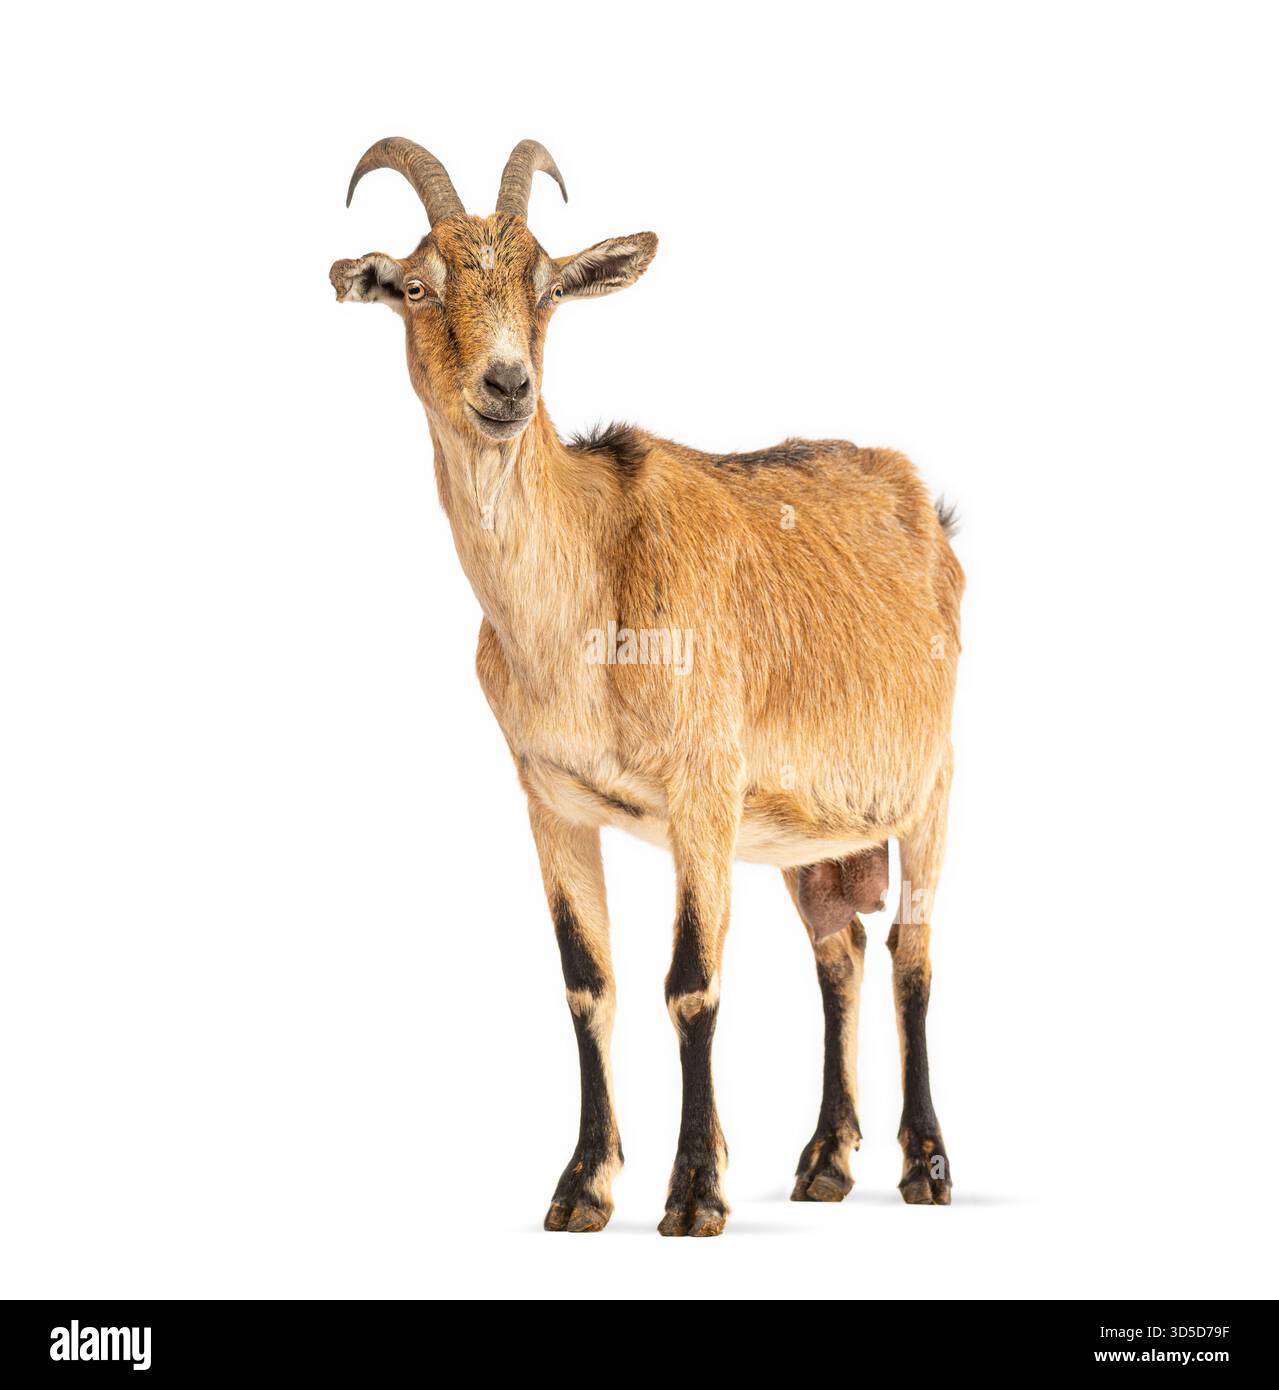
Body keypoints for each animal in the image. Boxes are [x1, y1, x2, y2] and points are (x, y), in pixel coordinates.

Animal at [330, 138, 963, 1236]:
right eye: (415, 285)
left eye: (546, 286)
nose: (508, 384)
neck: (582, 596)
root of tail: (929, 509)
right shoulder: (551, 799)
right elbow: (589, 984)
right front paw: (582, 1186)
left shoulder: (702, 788)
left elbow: (691, 982)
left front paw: (694, 1192)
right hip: (805, 830)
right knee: (838, 952)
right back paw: (824, 1163)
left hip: (931, 785)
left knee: (910, 959)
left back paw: (924, 1166)